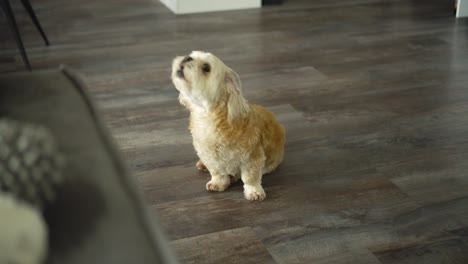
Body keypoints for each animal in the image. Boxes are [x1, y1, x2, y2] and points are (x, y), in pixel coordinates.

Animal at [170, 51, 284, 200]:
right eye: (191, 55)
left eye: (206, 67)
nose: (187, 58)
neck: (207, 117)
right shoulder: (211, 156)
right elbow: (218, 173)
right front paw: (218, 183)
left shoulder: (252, 157)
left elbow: (250, 177)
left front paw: (254, 191)